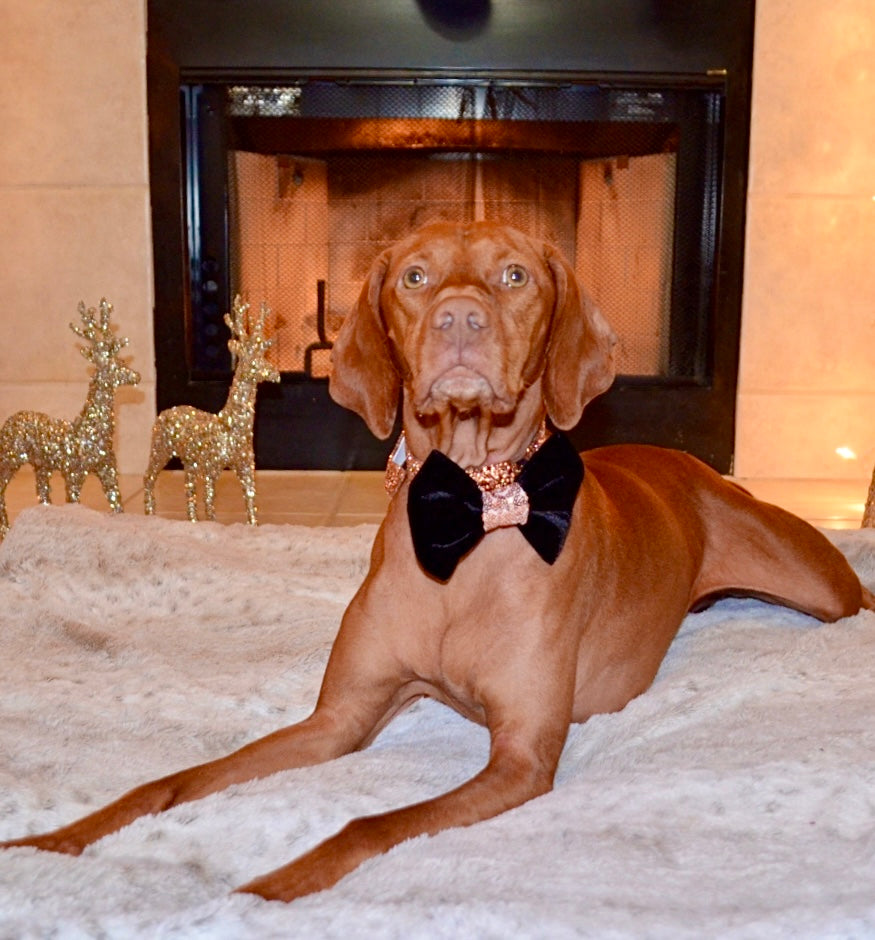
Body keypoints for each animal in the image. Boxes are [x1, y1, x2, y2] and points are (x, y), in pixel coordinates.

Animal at [3, 222, 872, 904]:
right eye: (415, 277)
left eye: (514, 274)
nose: (459, 318)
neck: (470, 508)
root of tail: (686, 463)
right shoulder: (340, 718)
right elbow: (173, 780)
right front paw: (57, 840)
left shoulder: (522, 756)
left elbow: (366, 824)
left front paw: (266, 889)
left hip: (818, 583)